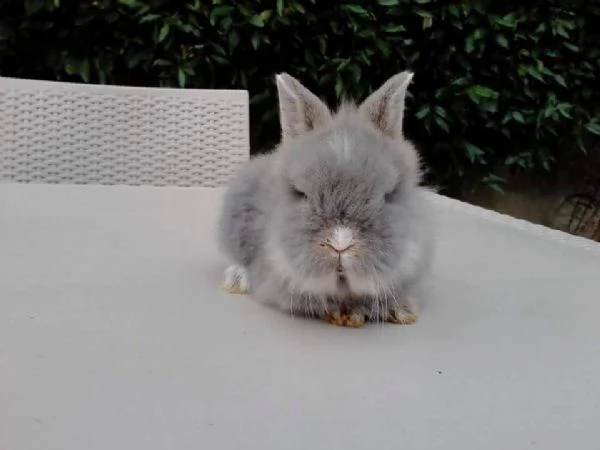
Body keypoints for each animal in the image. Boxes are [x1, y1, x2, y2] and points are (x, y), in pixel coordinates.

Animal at [218, 72, 434, 328]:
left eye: (388, 194)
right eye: (301, 193)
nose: (340, 244)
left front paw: (399, 310)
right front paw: (347, 313)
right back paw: (236, 279)